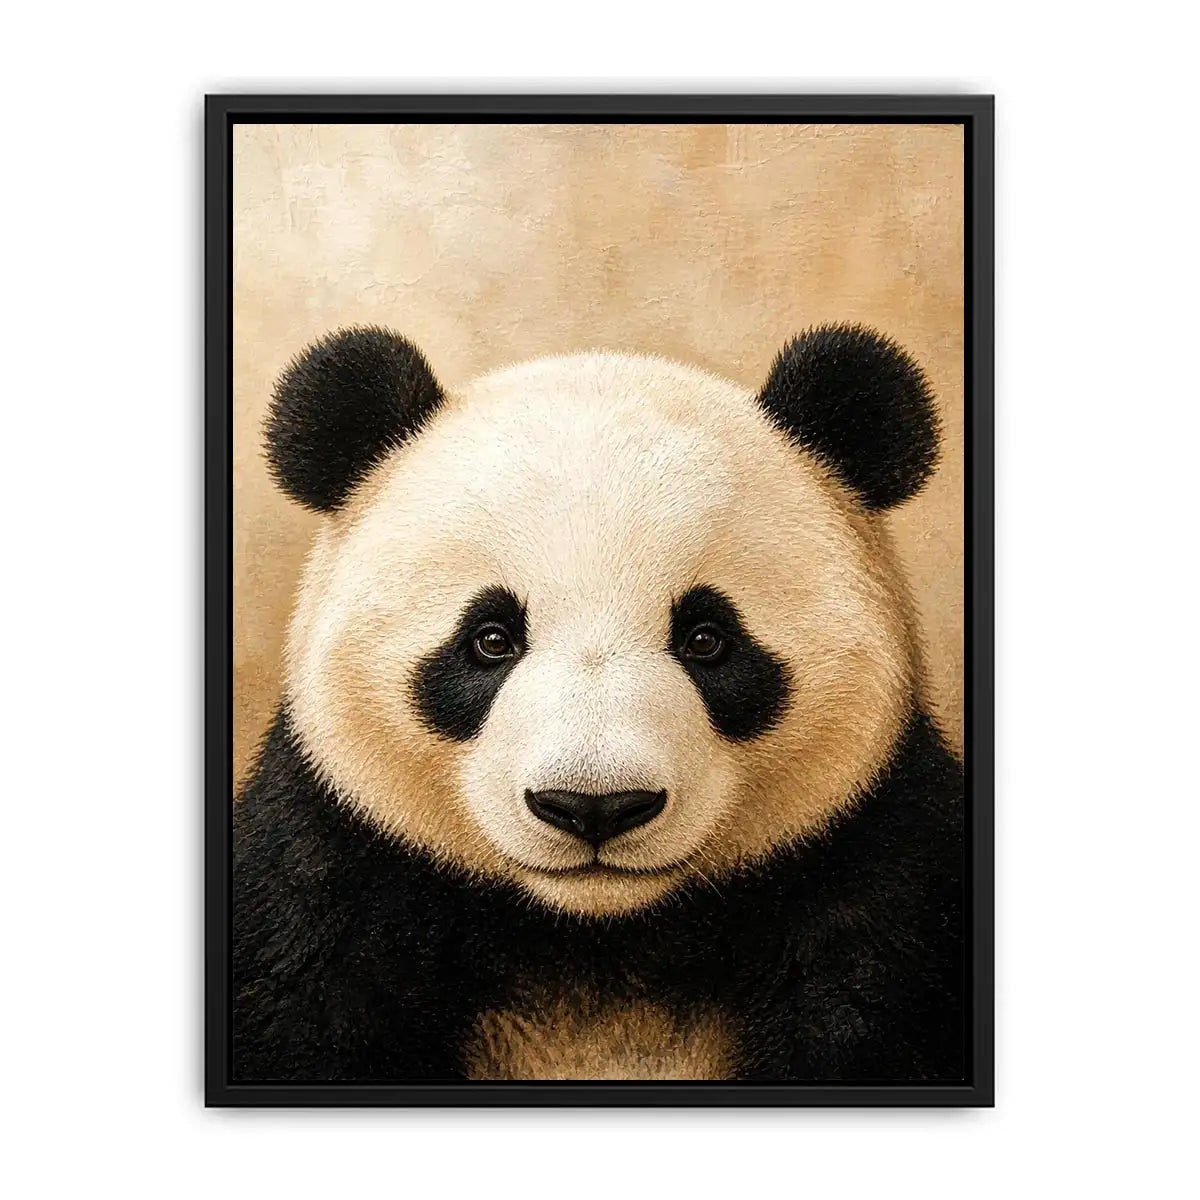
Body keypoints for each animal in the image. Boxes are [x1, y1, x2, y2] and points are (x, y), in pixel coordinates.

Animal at [233, 324, 964, 1083]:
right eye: (490, 639)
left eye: (707, 639)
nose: (594, 805)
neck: (597, 939)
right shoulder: (328, 878)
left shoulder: (881, 879)